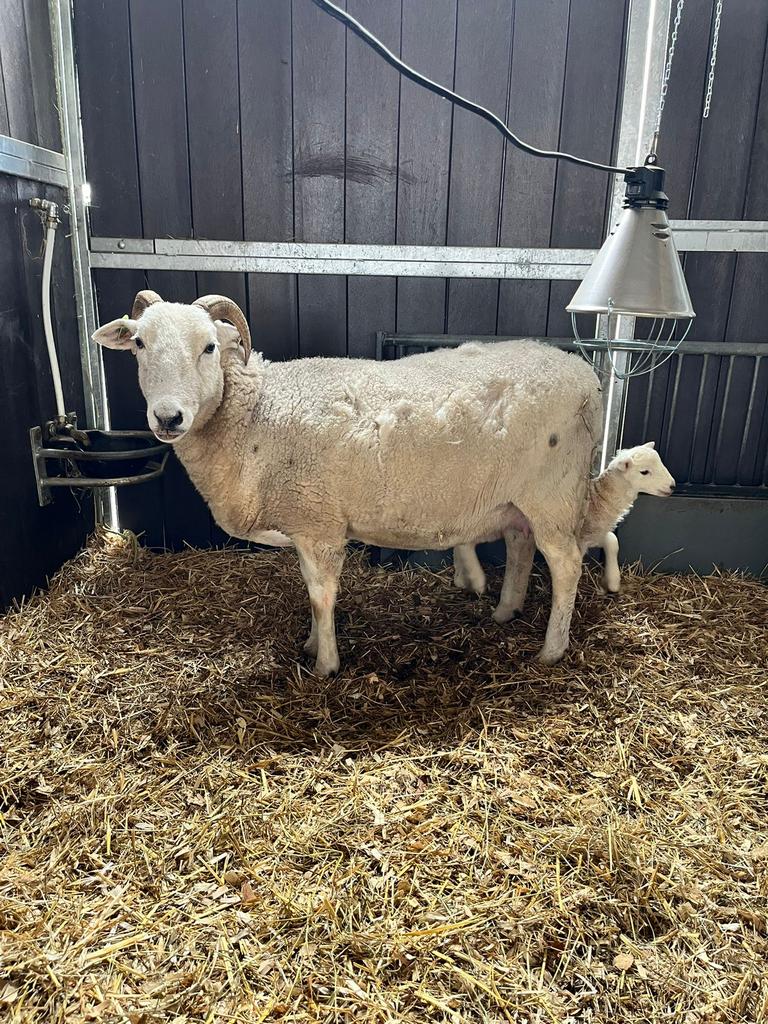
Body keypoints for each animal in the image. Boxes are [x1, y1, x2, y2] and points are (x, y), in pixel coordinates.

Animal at [93, 292, 603, 675]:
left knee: (566, 565)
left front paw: (326, 665)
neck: (257, 416)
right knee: (520, 545)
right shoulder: (305, 523)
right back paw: (505, 611)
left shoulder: (320, 523)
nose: (168, 418)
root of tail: (588, 377)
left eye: (209, 347)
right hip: (516, 497)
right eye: (139, 343)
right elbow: (309, 589)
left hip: (553, 493)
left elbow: (322, 595)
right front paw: (310, 645)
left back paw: (552, 650)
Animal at [452, 442, 675, 622]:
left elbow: (612, 540)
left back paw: (463, 579)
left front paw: (612, 582)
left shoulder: (590, 530)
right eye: (644, 472)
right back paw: (477, 581)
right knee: (465, 544)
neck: (597, 501)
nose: (673, 486)